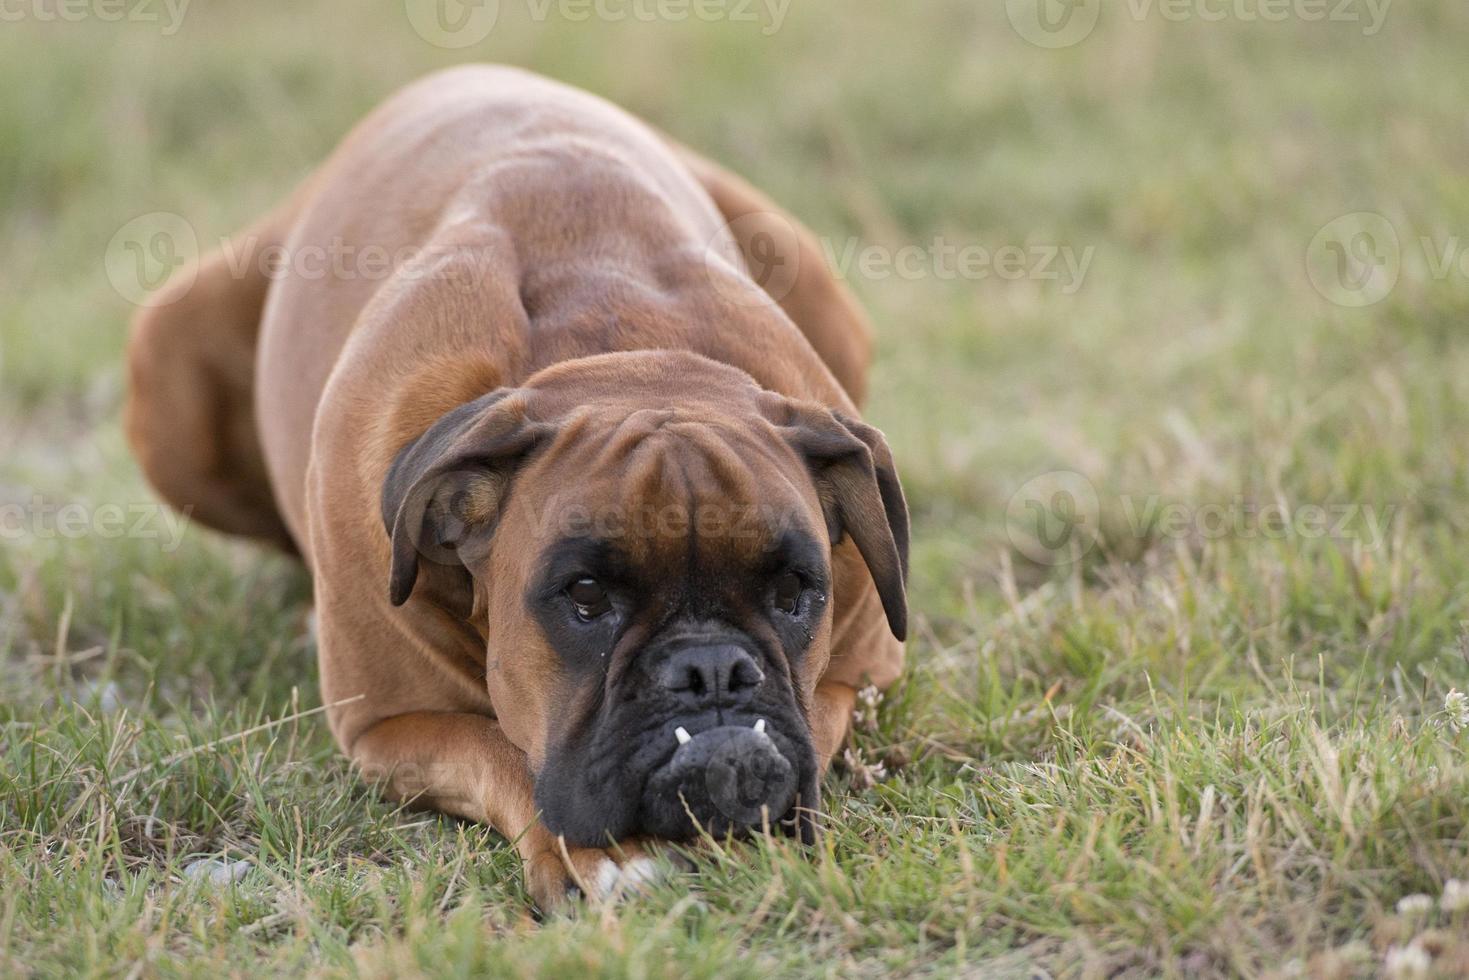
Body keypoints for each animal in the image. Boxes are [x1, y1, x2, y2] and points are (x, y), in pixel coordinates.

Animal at [126, 65, 904, 910]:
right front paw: (607, 856)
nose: (711, 672)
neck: (616, 342)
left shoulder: (858, 673)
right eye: (586, 597)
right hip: (166, 372)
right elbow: (498, 753)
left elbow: (816, 718)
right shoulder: (391, 726)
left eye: (794, 591)